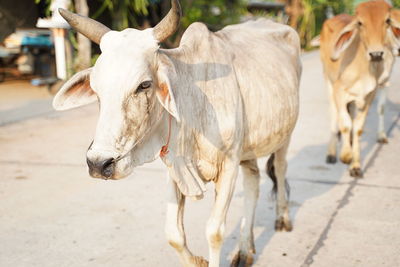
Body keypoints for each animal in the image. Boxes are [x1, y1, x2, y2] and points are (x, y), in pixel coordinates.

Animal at [52, 1, 300, 266]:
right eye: (96, 89)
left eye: (144, 85)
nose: (99, 164)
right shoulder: (175, 166)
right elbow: (174, 234)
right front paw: (198, 261)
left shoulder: (229, 165)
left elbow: (214, 231)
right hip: (249, 147)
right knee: (253, 181)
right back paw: (245, 250)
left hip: (284, 135)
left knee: (280, 168)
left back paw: (282, 219)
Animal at [320, 1, 400, 179]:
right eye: (360, 23)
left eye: (387, 20)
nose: (376, 54)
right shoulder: (339, 92)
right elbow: (344, 124)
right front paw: (345, 156)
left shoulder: (371, 94)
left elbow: (358, 128)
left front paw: (355, 165)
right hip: (328, 82)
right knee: (334, 115)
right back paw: (331, 152)